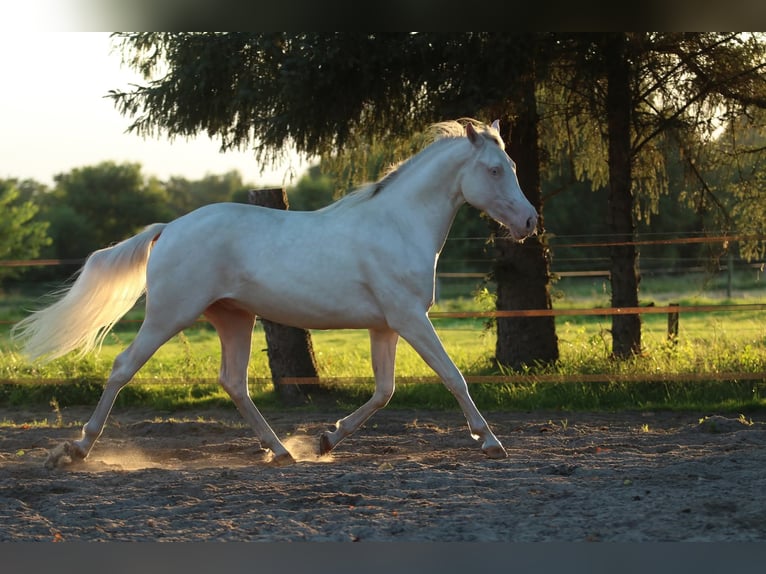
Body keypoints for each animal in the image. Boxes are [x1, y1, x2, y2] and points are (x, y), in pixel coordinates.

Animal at [12, 119, 538, 467]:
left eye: (513, 164)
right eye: (495, 170)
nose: (531, 222)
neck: (397, 225)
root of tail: (169, 228)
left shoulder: (385, 326)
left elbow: (384, 392)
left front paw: (327, 439)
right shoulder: (410, 319)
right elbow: (453, 378)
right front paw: (491, 442)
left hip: (233, 319)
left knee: (234, 383)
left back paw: (282, 451)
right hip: (169, 315)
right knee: (124, 367)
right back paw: (75, 450)